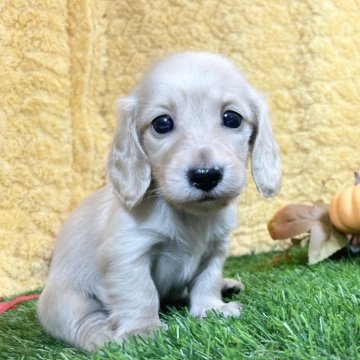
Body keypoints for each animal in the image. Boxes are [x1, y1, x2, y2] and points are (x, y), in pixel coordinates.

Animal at [38, 52, 282, 350]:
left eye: (232, 118)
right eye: (162, 123)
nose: (205, 176)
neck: (187, 215)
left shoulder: (215, 249)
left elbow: (207, 280)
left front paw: (212, 309)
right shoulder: (127, 254)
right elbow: (139, 293)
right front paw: (142, 330)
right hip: (65, 301)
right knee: (84, 323)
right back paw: (104, 336)